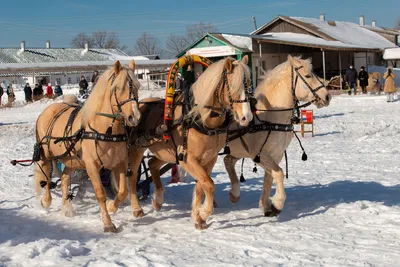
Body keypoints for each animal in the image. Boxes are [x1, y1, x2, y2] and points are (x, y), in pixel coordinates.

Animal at [34, 60, 141, 232]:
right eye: (119, 88)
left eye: (137, 86)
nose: (135, 117)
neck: (105, 129)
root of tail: (47, 110)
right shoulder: (92, 166)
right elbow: (100, 193)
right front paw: (107, 222)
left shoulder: (119, 164)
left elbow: (123, 191)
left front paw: (112, 206)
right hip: (46, 155)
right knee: (46, 177)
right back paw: (46, 201)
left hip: (71, 160)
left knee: (64, 178)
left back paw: (67, 208)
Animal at [126, 56, 253, 230]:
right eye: (233, 86)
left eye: (249, 84)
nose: (247, 117)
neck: (198, 118)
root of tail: (142, 104)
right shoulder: (187, 159)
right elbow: (209, 184)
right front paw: (204, 213)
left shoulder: (209, 158)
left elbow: (202, 185)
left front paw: (198, 217)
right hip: (138, 149)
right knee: (132, 177)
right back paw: (136, 208)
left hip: (166, 153)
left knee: (152, 163)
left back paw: (158, 200)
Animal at [223, 55, 330, 217]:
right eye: (307, 76)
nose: (327, 96)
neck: (269, 116)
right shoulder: (259, 154)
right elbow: (278, 173)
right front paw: (277, 203)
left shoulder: (276, 154)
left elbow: (269, 177)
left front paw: (266, 206)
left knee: (227, 160)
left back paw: (233, 194)